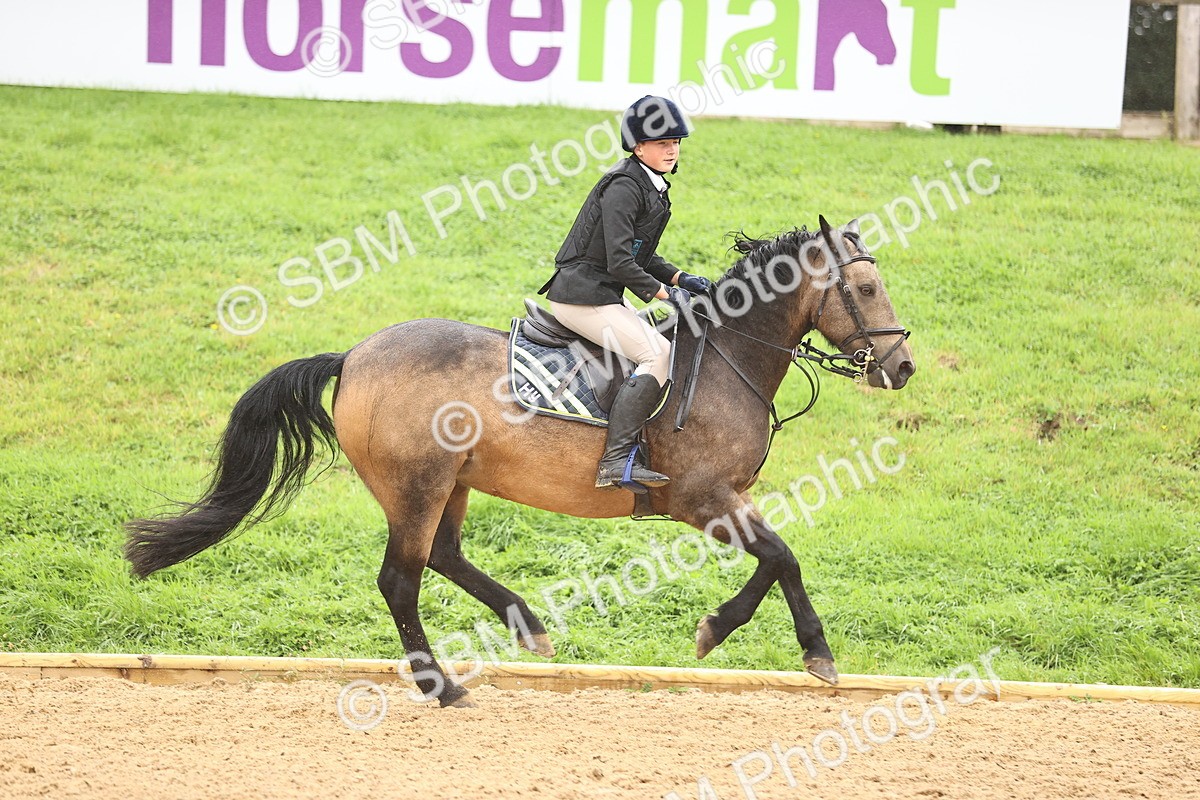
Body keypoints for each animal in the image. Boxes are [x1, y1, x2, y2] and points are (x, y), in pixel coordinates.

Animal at [125, 217, 915, 707]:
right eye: (866, 288)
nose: (902, 366)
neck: (726, 360)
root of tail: (352, 357)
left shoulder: (724, 499)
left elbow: (779, 558)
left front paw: (735, 632)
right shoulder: (700, 498)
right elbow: (782, 556)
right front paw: (791, 647)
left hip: (453, 482)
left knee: (442, 557)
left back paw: (526, 623)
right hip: (416, 486)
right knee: (401, 580)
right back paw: (440, 687)